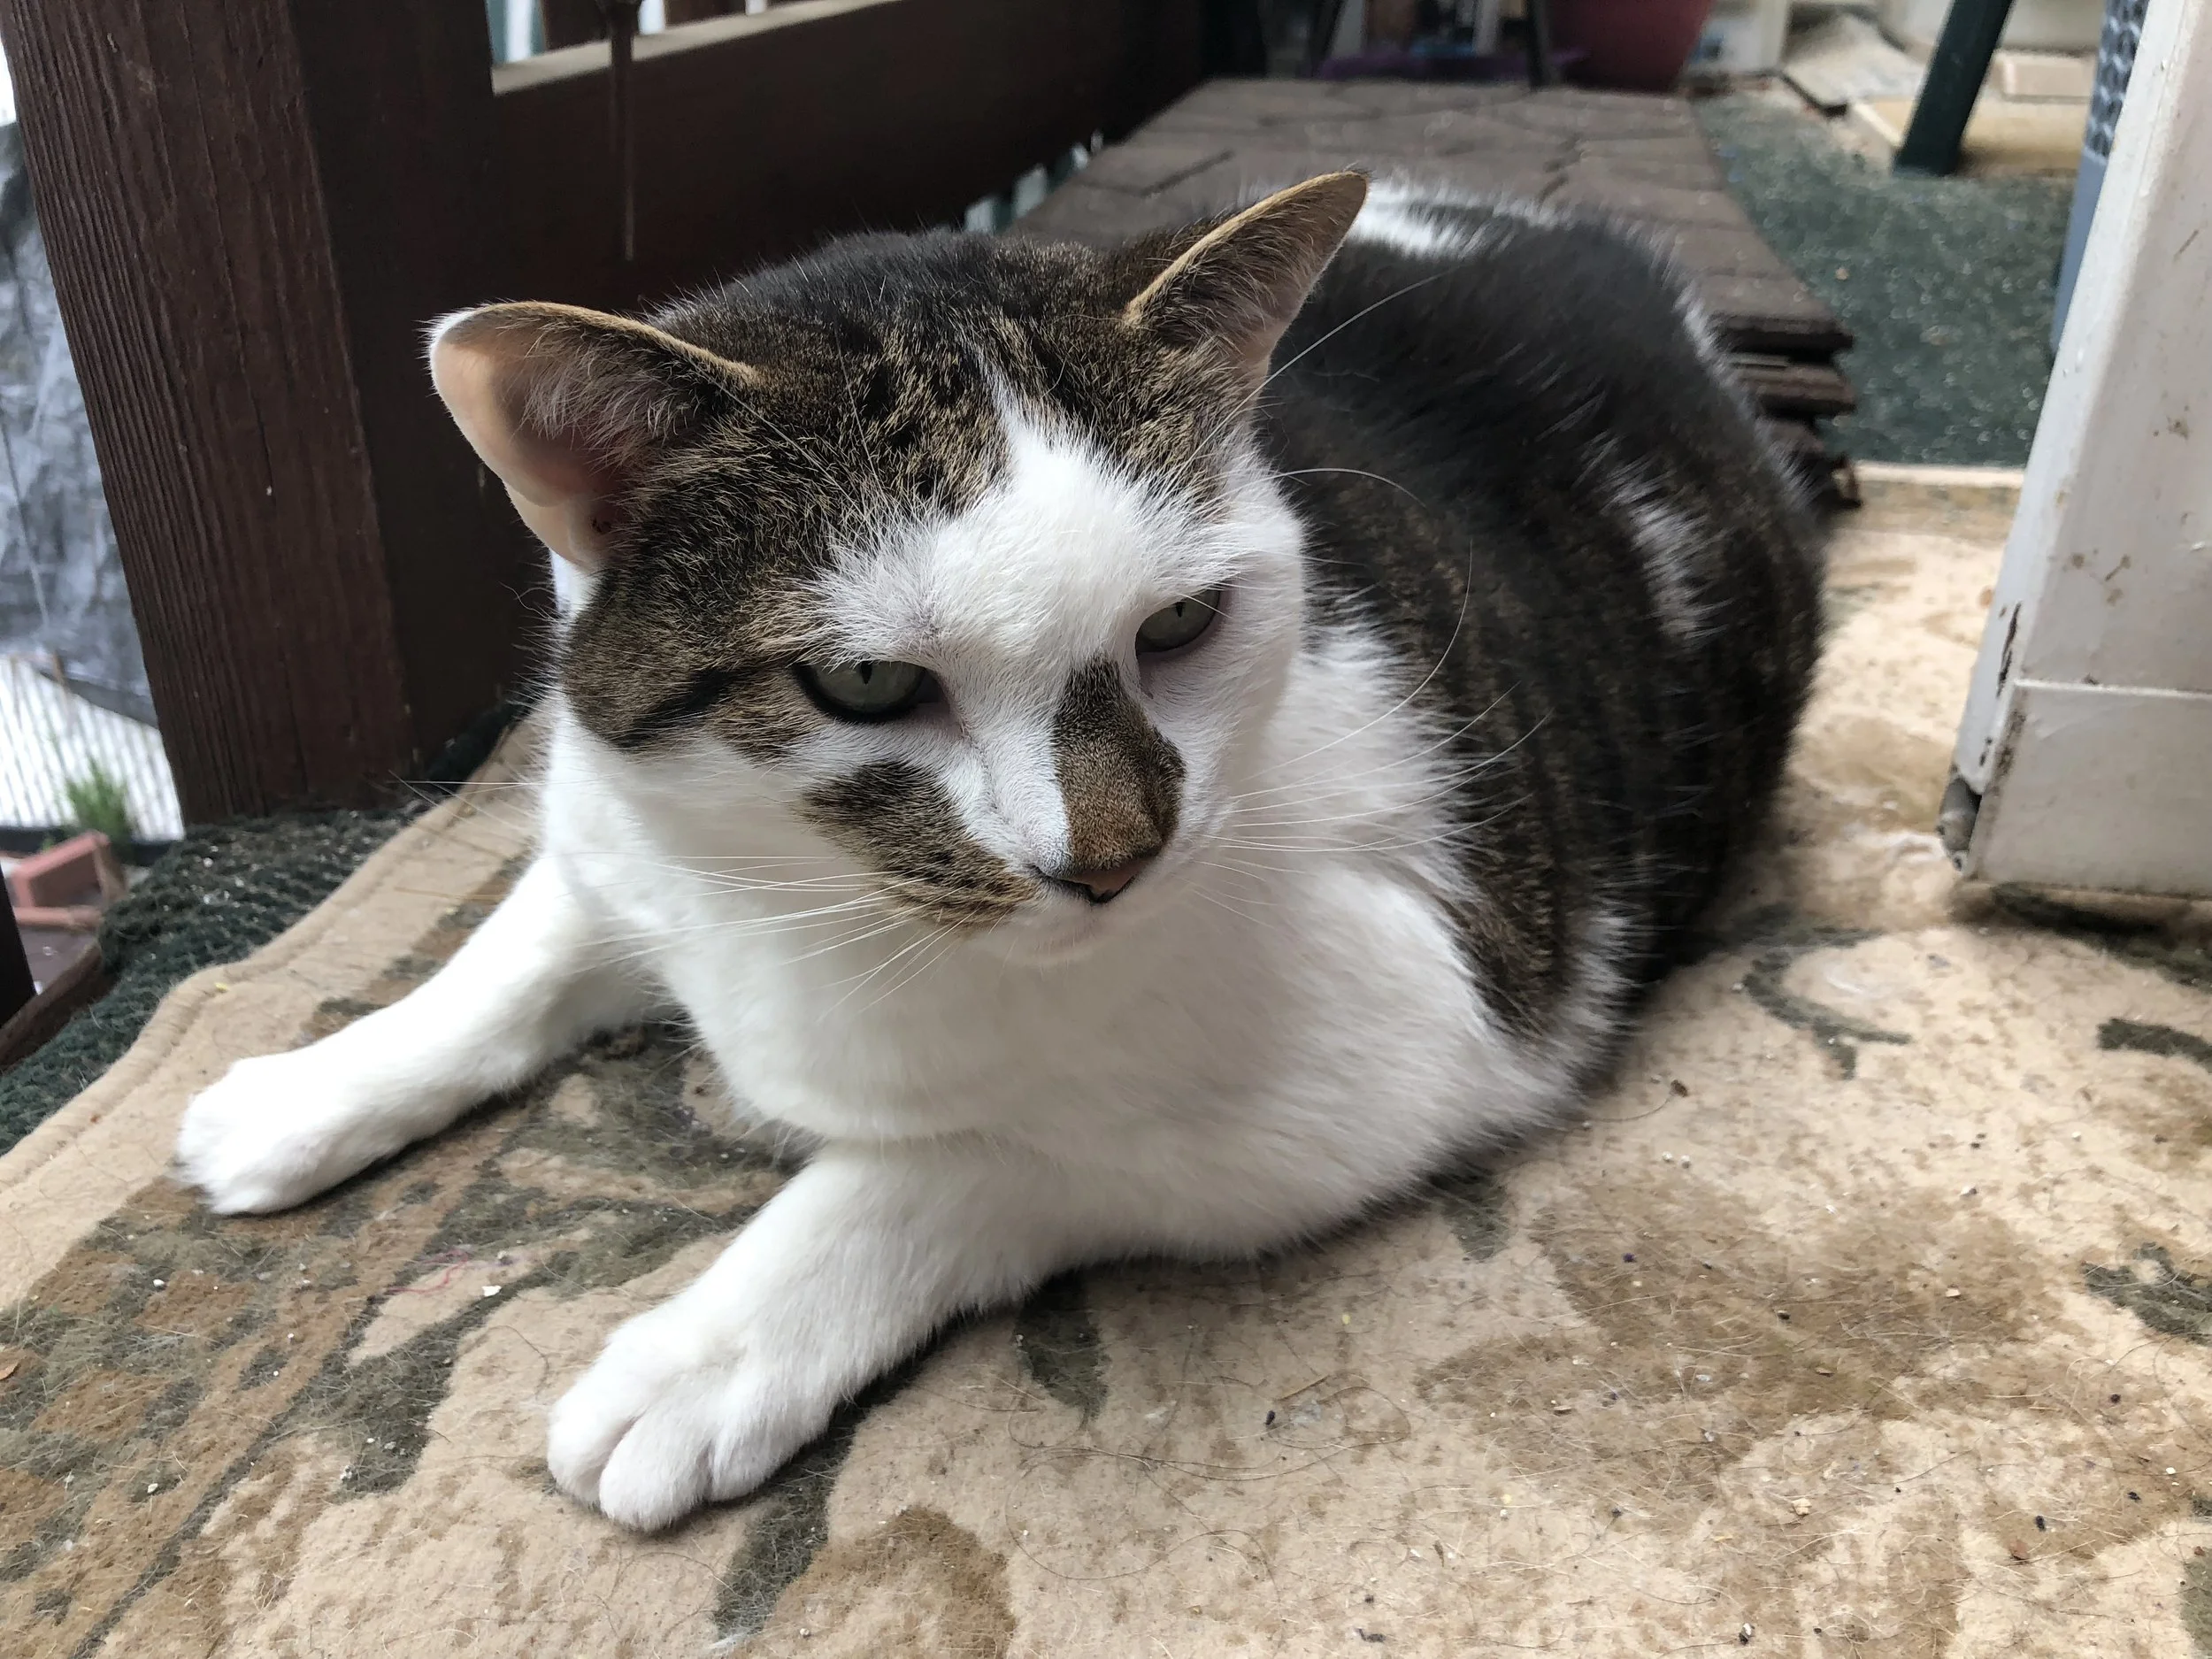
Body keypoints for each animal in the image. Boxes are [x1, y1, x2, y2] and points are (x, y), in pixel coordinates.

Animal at [175, 171, 1821, 1531]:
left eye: (1181, 624)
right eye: (863, 683)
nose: (1114, 856)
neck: (818, 905)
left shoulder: (1393, 1049)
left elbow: (969, 1160)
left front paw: (706, 1347)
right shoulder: (616, 818)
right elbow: (513, 954)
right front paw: (311, 1087)